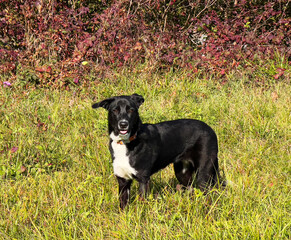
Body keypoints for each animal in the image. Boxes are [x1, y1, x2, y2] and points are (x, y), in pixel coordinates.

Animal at [92, 93, 222, 208]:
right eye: (115, 110)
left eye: (131, 110)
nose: (123, 124)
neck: (125, 142)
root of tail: (210, 129)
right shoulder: (123, 180)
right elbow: (122, 206)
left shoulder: (143, 179)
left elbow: (142, 205)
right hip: (182, 172)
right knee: (191, 189)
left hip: (204, 173)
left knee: (207, 194)